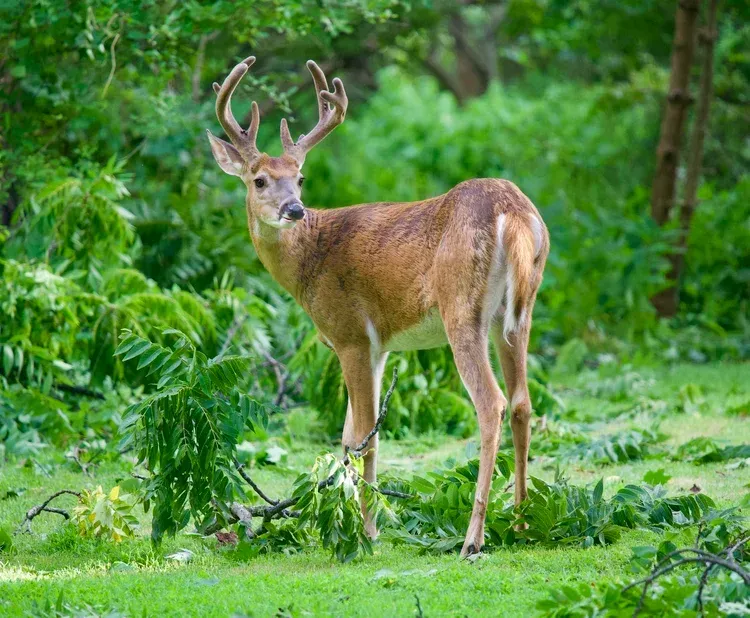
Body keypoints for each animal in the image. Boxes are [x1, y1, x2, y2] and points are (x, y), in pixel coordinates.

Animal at [207, 56, 549, 557]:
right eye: (260, 179)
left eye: (301, 178)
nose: (294, 210)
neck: (310, 261)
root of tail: (516, 214)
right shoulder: (380, 345)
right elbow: (356, 435)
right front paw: (357, 523)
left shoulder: (349, 334)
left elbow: (364, 435)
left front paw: (367, 531)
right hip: (519, 310)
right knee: (523, 402)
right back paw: (522, 522)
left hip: (461, 308)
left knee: (492, 403)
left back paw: (473, 538)